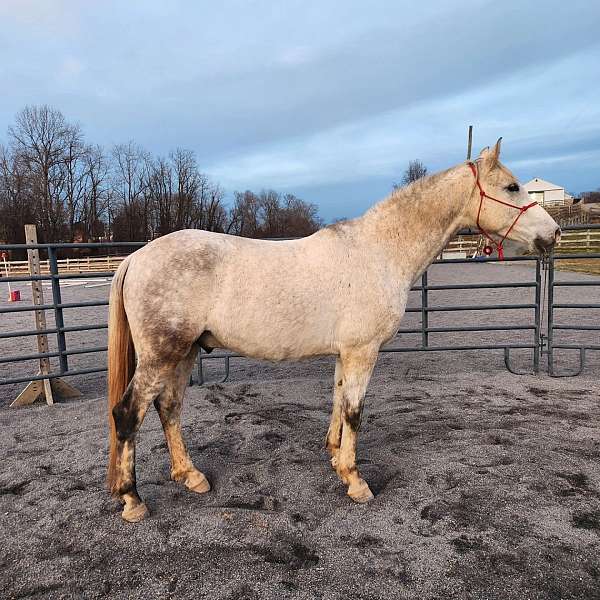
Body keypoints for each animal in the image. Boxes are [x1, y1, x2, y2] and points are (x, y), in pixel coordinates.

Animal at [105, 141, 560, 520]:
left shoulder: (346, 353)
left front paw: (335, 459)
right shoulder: (363, 350)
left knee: (169, 409)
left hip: (184, 352)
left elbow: (339, 401)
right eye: (513, 187)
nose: (553, 233)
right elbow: (355, 411)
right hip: (162, 354)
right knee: (128, 414)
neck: (379, 251)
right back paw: (132, 500)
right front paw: (356, 481)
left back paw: (191, 476)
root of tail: (137, 258)